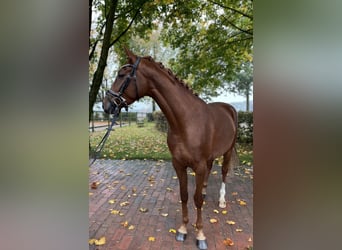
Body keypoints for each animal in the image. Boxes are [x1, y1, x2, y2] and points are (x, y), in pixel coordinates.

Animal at [102, 47, 238, 249]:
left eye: (121, 75)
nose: (106, 105)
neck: (187, 121)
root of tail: (229, 108)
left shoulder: (198, 165)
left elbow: (196, 200)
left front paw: (200, 234)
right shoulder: (178, 164)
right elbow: (184, 195)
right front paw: (182, 230)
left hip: (227, 152)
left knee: (223, 173)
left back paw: (221, 201)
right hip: (210, 158)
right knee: (209, 171)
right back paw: (206, 191)